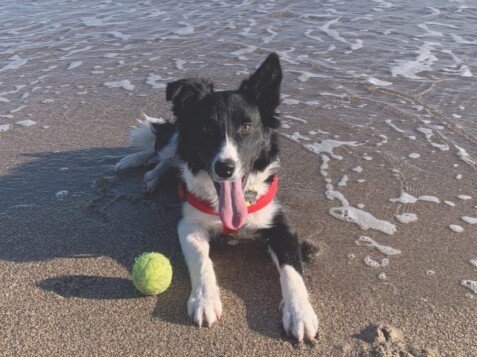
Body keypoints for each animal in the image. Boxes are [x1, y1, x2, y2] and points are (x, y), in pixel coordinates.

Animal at [115, 52, 316, 340]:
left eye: (246, 126)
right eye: (206, 129)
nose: (225, 168)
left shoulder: (281, 225)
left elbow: (292, 270)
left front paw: (300, 313)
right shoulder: (189, 225)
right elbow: (202, 261)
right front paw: (204, 300)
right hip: (178, 138)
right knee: (163, 154)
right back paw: (146, 172)